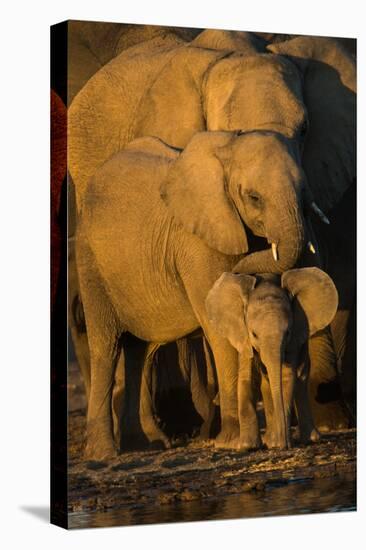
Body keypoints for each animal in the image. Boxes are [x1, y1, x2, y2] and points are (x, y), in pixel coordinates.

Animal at [206, 268, 338, 452]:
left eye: (288, 332)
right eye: (254, 334)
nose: (285, 445)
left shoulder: (294, 338)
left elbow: (287, 376)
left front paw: (279, 443)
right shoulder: (243, 335)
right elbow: (248, 377)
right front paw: (247, 446)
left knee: (301, 379)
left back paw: (309, 439)